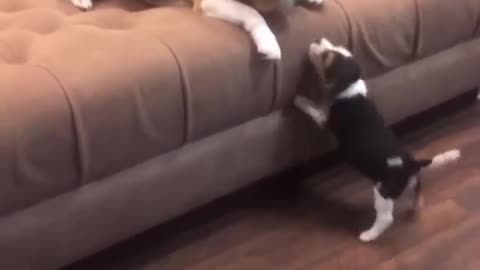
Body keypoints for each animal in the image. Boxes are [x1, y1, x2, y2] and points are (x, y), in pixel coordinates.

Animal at [296, 37, 462, 243]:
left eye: (326, 56)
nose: (318, 39)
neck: (351, 90)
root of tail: (411, 163)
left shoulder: (324, 119)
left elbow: (311, 108)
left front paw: (298, 99)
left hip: (382, 191)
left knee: (385, 218)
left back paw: (368, 235)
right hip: (412, 184)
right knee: (417, 195)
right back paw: (415, 207)